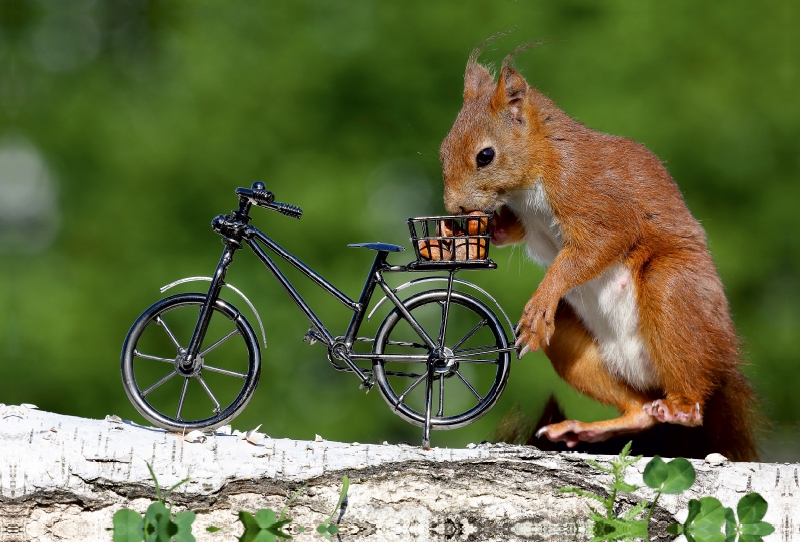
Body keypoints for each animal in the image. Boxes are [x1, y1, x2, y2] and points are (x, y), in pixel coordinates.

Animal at [440, 44, 760, 464]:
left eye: (485, 156)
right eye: (443, 150)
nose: (454, 208)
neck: (538, 168)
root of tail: (723, 364)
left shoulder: (592, 196)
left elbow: (596, 247)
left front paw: (540, 302)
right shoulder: (525, 221)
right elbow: (509, 232)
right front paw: (461, 236)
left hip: (672, 291)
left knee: (691, 400)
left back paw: (679, 406)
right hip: (572, 341)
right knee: (639, 412)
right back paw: (585, 427)